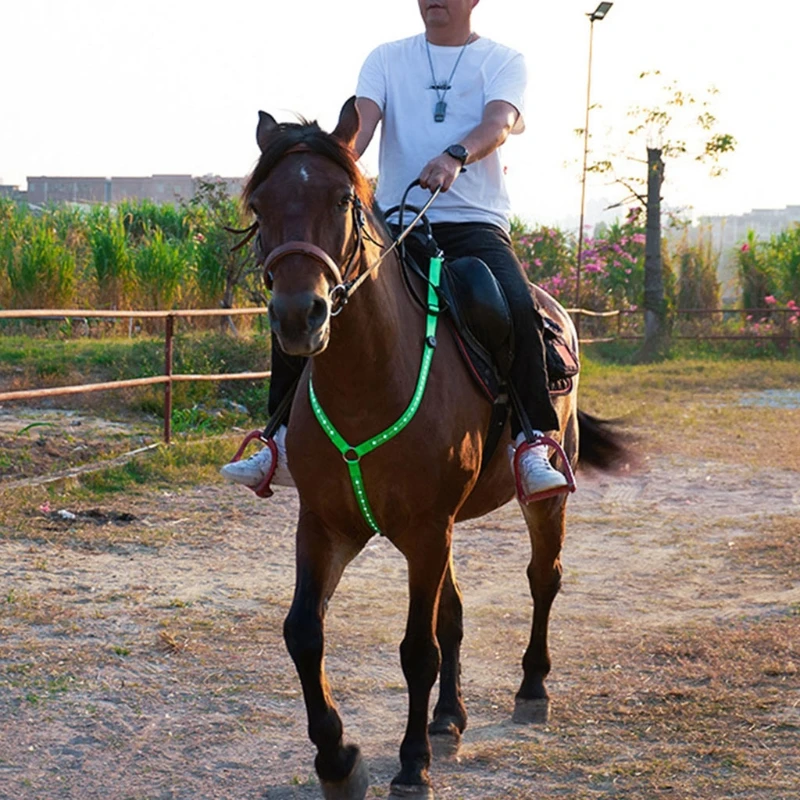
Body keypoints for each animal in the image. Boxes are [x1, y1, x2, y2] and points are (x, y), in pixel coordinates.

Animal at [242, 97, 625, 800]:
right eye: (259, 205)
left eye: (342, 198)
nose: (299, 316)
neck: (369, 381)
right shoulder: (327, 524)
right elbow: (304, 633)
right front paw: (339, 760)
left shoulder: (425, 529)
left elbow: (417, 649)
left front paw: (411, 763)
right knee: (454, 613)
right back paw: (449, 718)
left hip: (539, 502)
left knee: (543, 578)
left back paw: (531, 689)